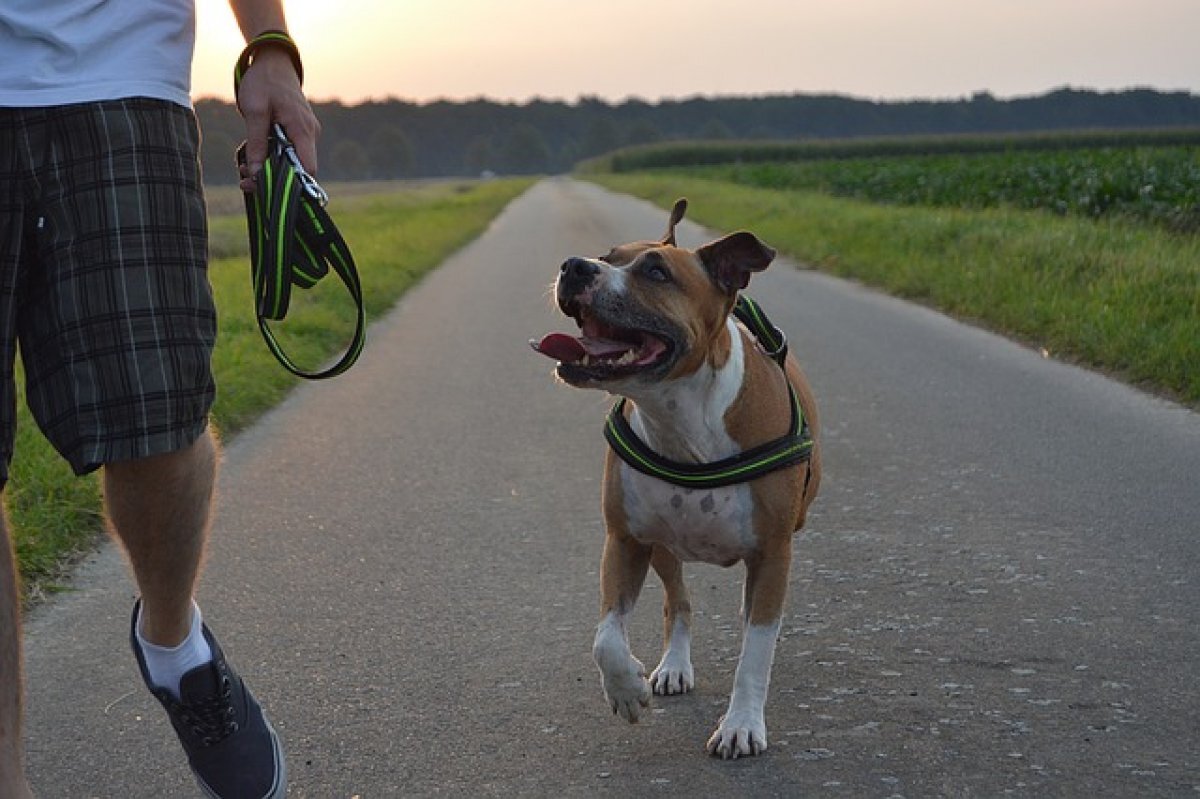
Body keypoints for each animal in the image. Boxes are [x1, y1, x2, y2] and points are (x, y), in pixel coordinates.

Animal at [537, 197, 825, 753]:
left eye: (656, 272)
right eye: (606, 256)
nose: (575, 266)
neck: (681, 417)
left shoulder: (773, 553)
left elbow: (756, 650)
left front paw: (741, 724)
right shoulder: (625, 539)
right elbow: (605, 637)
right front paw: (626, 687)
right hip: (664, 547)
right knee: (679, 602)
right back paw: (673, 666)